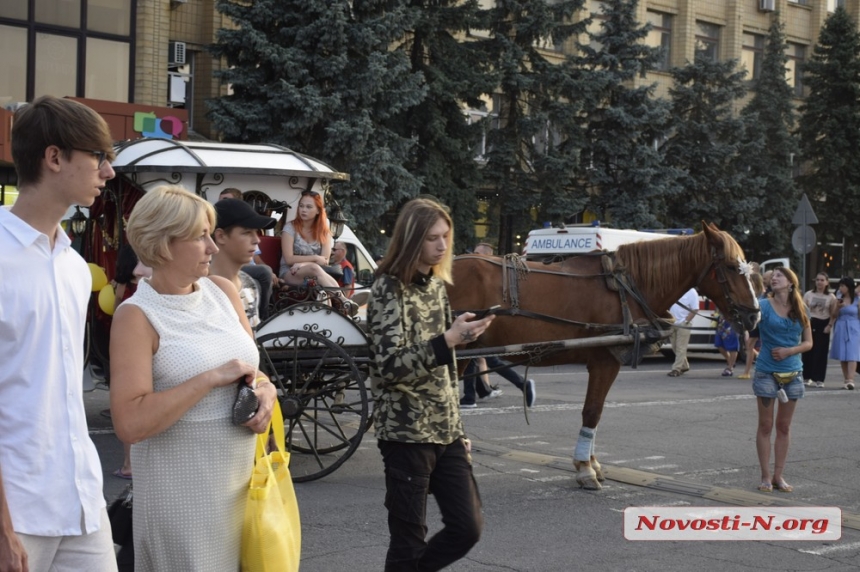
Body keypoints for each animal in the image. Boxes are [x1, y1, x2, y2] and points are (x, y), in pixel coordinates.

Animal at [450, 222, 760, 488]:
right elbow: (592, 411)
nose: (754, 316)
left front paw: (590, 463)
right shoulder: (605, 362)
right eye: (731, 267)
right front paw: (586, 469)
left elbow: (595, 413)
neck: (627, 287)